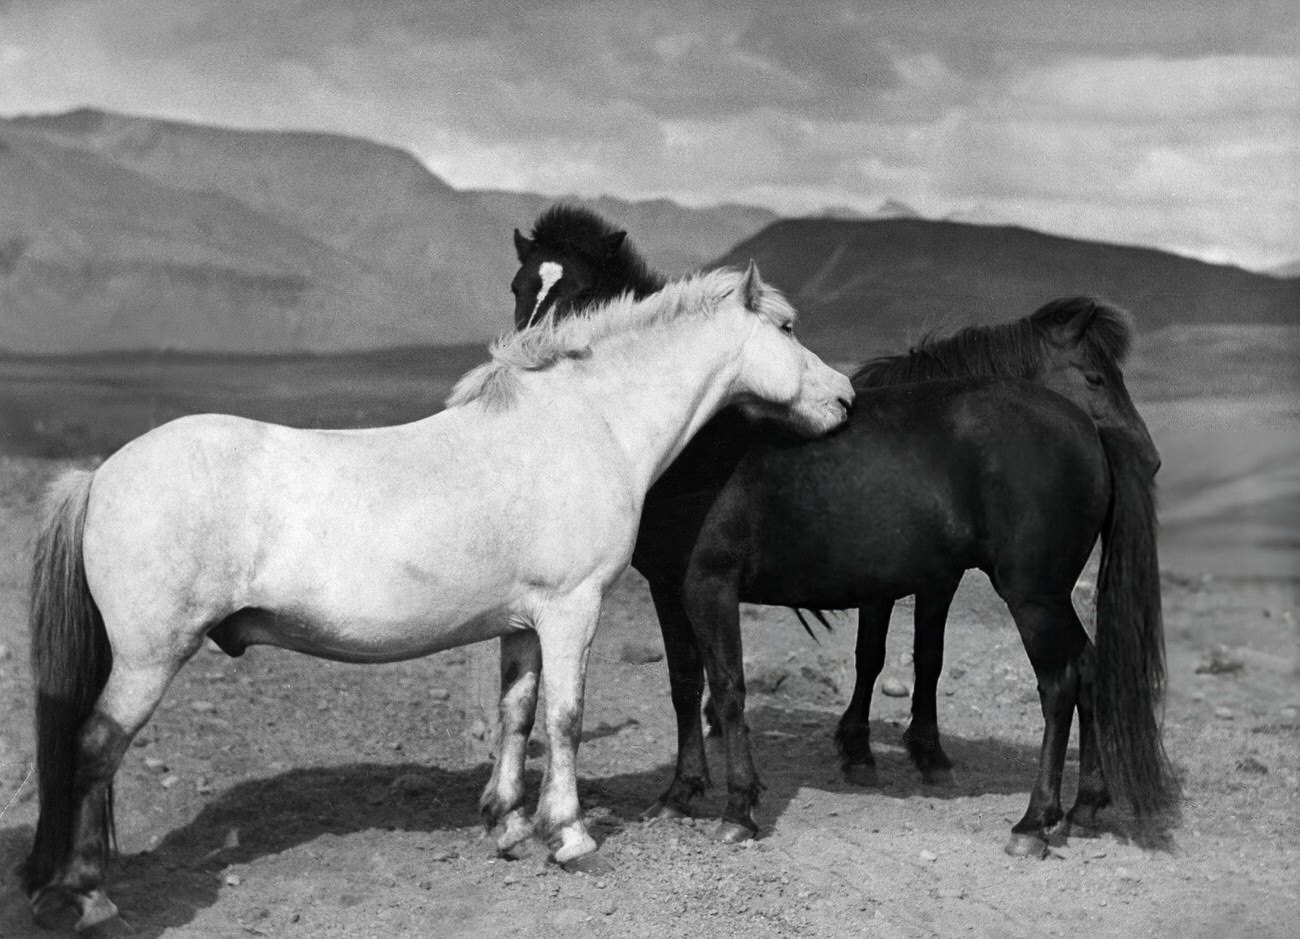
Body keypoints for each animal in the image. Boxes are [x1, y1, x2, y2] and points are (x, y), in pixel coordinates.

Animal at [22, 261, 852, 931]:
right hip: (148, 659)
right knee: (94, 747)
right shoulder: (570, 609)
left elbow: (517, 714)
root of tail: (100, 473)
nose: (844, 397)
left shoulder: (523, 623)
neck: (591, 424)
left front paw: (508, 825)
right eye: (786, 327)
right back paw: (87, 894)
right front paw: (570, 835)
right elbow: (567, 717)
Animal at [512, 208, 1185, 853]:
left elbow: (731, 686)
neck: (698, 434)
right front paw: (681, 793)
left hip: (1033, 593)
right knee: (1089, 668)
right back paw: (1085, 804)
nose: (525, 371)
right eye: (521, 289)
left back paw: (1034, 822)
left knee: (1060, 682)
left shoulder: (710, 583)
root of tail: (1085, 429)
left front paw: (739, 808)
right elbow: (685, 683)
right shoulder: (667, 586)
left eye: (582, 297)